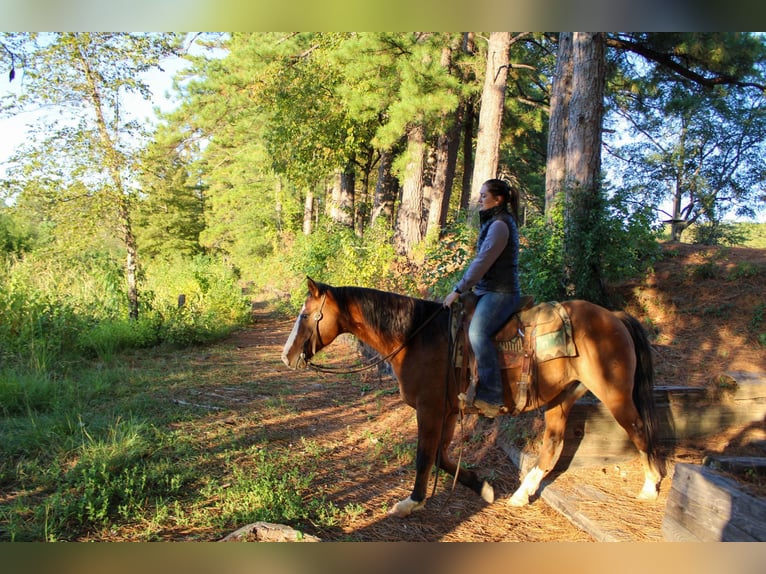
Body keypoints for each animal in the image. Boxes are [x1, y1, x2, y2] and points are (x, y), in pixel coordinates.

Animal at [282, 276, 664, 520]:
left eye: (305, 315)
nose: (287, 357)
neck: (417, 336)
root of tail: (614, 316)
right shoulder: (448, 412)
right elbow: (441, 457)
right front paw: (483, 488)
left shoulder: (430, 410)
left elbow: (425, 457)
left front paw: (412, 502)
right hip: (563, 398)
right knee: (553, 447)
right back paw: (521, 494)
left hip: (614, 394)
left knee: (639, 430)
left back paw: (650, 487)